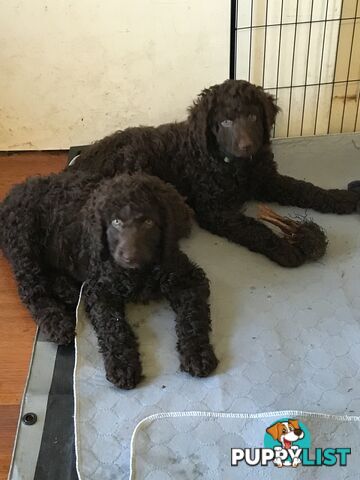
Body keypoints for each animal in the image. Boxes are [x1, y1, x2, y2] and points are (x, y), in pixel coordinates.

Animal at [0, 172, 217, 390]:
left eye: (148, 222)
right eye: (116, 222)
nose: (130, 257)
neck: (138, 273)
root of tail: (16, 191)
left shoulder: (186, 277)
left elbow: (193, 315)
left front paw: (197, 353)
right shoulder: (100, 290)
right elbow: (112, 325)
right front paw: (123, 364)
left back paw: (68, 291)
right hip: (24, 245)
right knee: (32, 289)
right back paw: (57, 322)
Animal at [70, 79, 360, 266]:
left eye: (253, 117)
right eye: (226, 122)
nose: (247, 145)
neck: (237, 166)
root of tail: (80, 161)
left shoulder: (268, 180)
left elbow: (305, 188)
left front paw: (342, 199)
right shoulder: (216, 210)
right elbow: (253, 228)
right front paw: (284, 249)